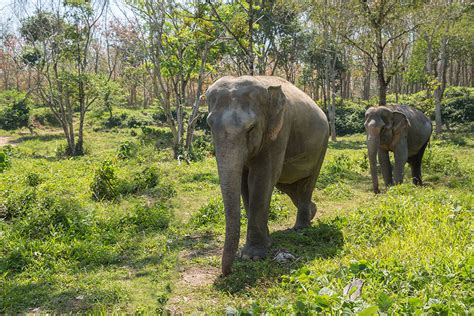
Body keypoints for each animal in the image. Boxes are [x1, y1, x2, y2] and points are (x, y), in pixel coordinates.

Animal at [207, 76, 330, 274]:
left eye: (251, 128)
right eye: (209, 125)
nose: (228, 272)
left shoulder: (279, 131)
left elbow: (262, 177)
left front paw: (252, 256)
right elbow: (244, 182)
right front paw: (265, 243)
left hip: (322, 145)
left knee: (306, 184)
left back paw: (301, 228)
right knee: (288, 185)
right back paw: (313, 211)